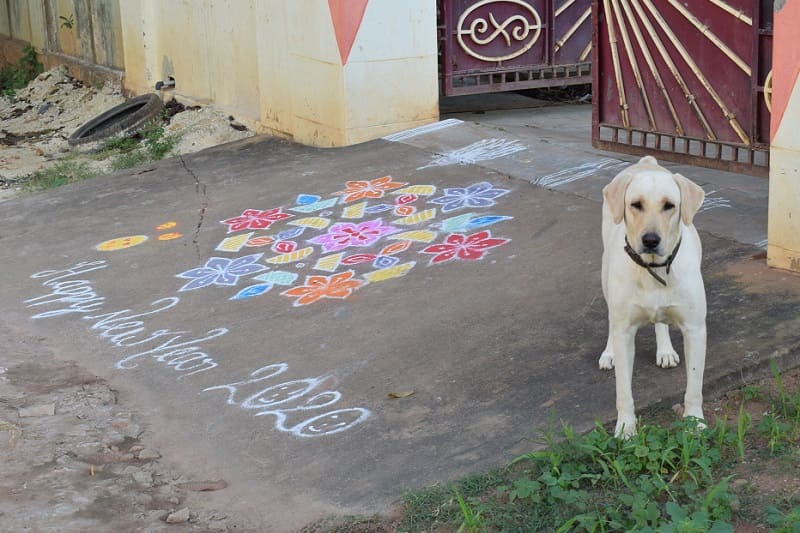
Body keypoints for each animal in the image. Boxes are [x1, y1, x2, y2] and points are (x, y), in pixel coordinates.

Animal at [600, 155, 708, 436]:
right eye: (636, 204)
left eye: (669, 206)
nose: (650, 240)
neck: (653, 269)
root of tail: (646, 160)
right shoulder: (625, 331)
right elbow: (623, 390)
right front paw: (625, 427)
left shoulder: (695, 329)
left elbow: (694, 385)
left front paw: (695, 422)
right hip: (606, 278)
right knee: (610, 319)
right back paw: (608, 352)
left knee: (660, 322)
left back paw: (665, 350)